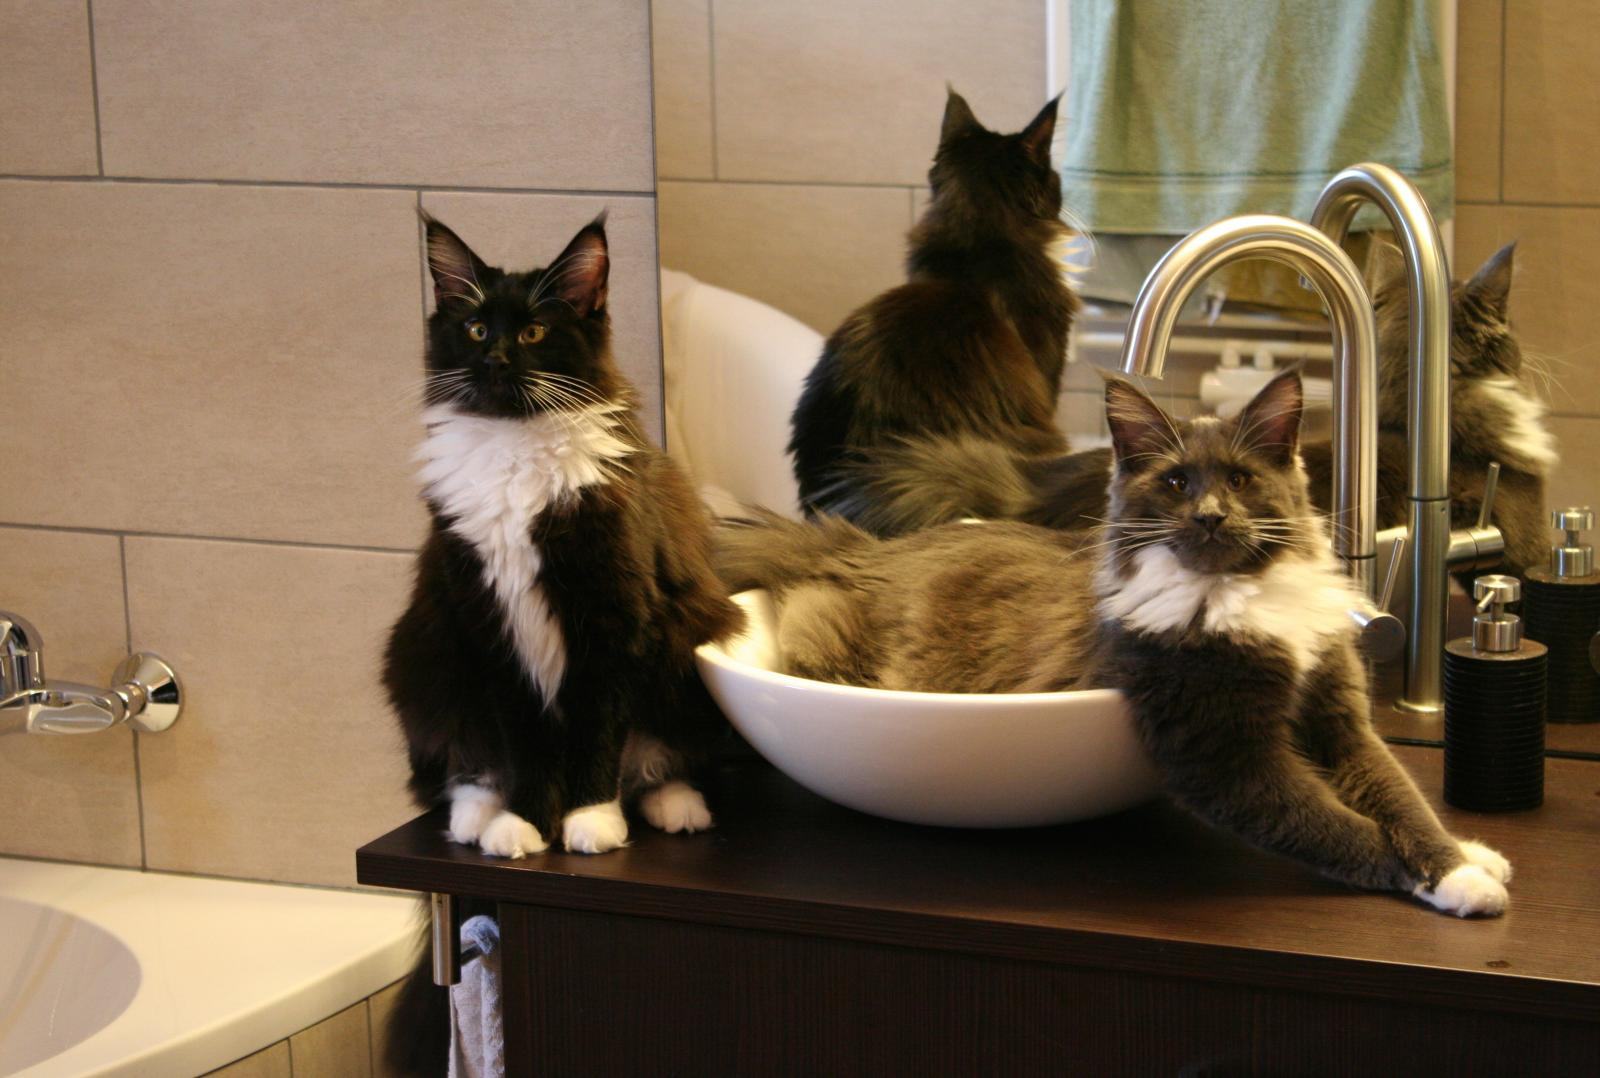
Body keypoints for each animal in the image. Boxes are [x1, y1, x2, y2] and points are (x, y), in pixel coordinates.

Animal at [382, 214, 743, 1074]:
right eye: (477, 329)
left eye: (536, 332)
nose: (496, 360)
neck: (515, 448)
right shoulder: (488, 625)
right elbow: (522, 739)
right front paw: (524, 822)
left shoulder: (614, 617)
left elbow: (597, 733)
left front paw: (586, 818)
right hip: (423, 652)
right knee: (457, 764)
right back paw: (477, 812)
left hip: (691, 640)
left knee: (656, 753)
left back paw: (673, 803)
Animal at [720, 372, 1512, 917]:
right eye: (1177, 482)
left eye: (1240, 479)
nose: (1211, 515)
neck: (1239, 593)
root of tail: (860, 547)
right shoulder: (1224, 752)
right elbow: (1339, 827)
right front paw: (1459, 886)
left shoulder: (1338, 713)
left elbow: (1402, 799)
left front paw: (1464, 858)